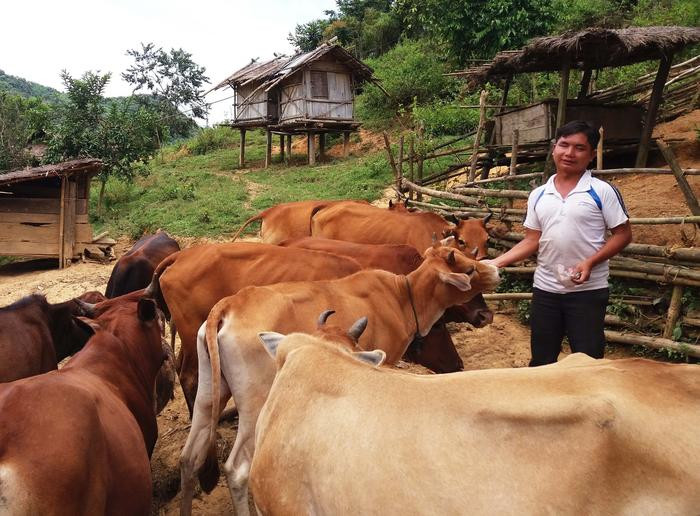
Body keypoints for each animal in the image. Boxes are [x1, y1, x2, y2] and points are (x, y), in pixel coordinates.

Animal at [178, 243, 500, 516]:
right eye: (469, 270)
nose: (495, 270)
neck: (401, 296)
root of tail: (229, 305)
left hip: (209, 395)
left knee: (189, 457)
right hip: (254, 405)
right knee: (237, 469)